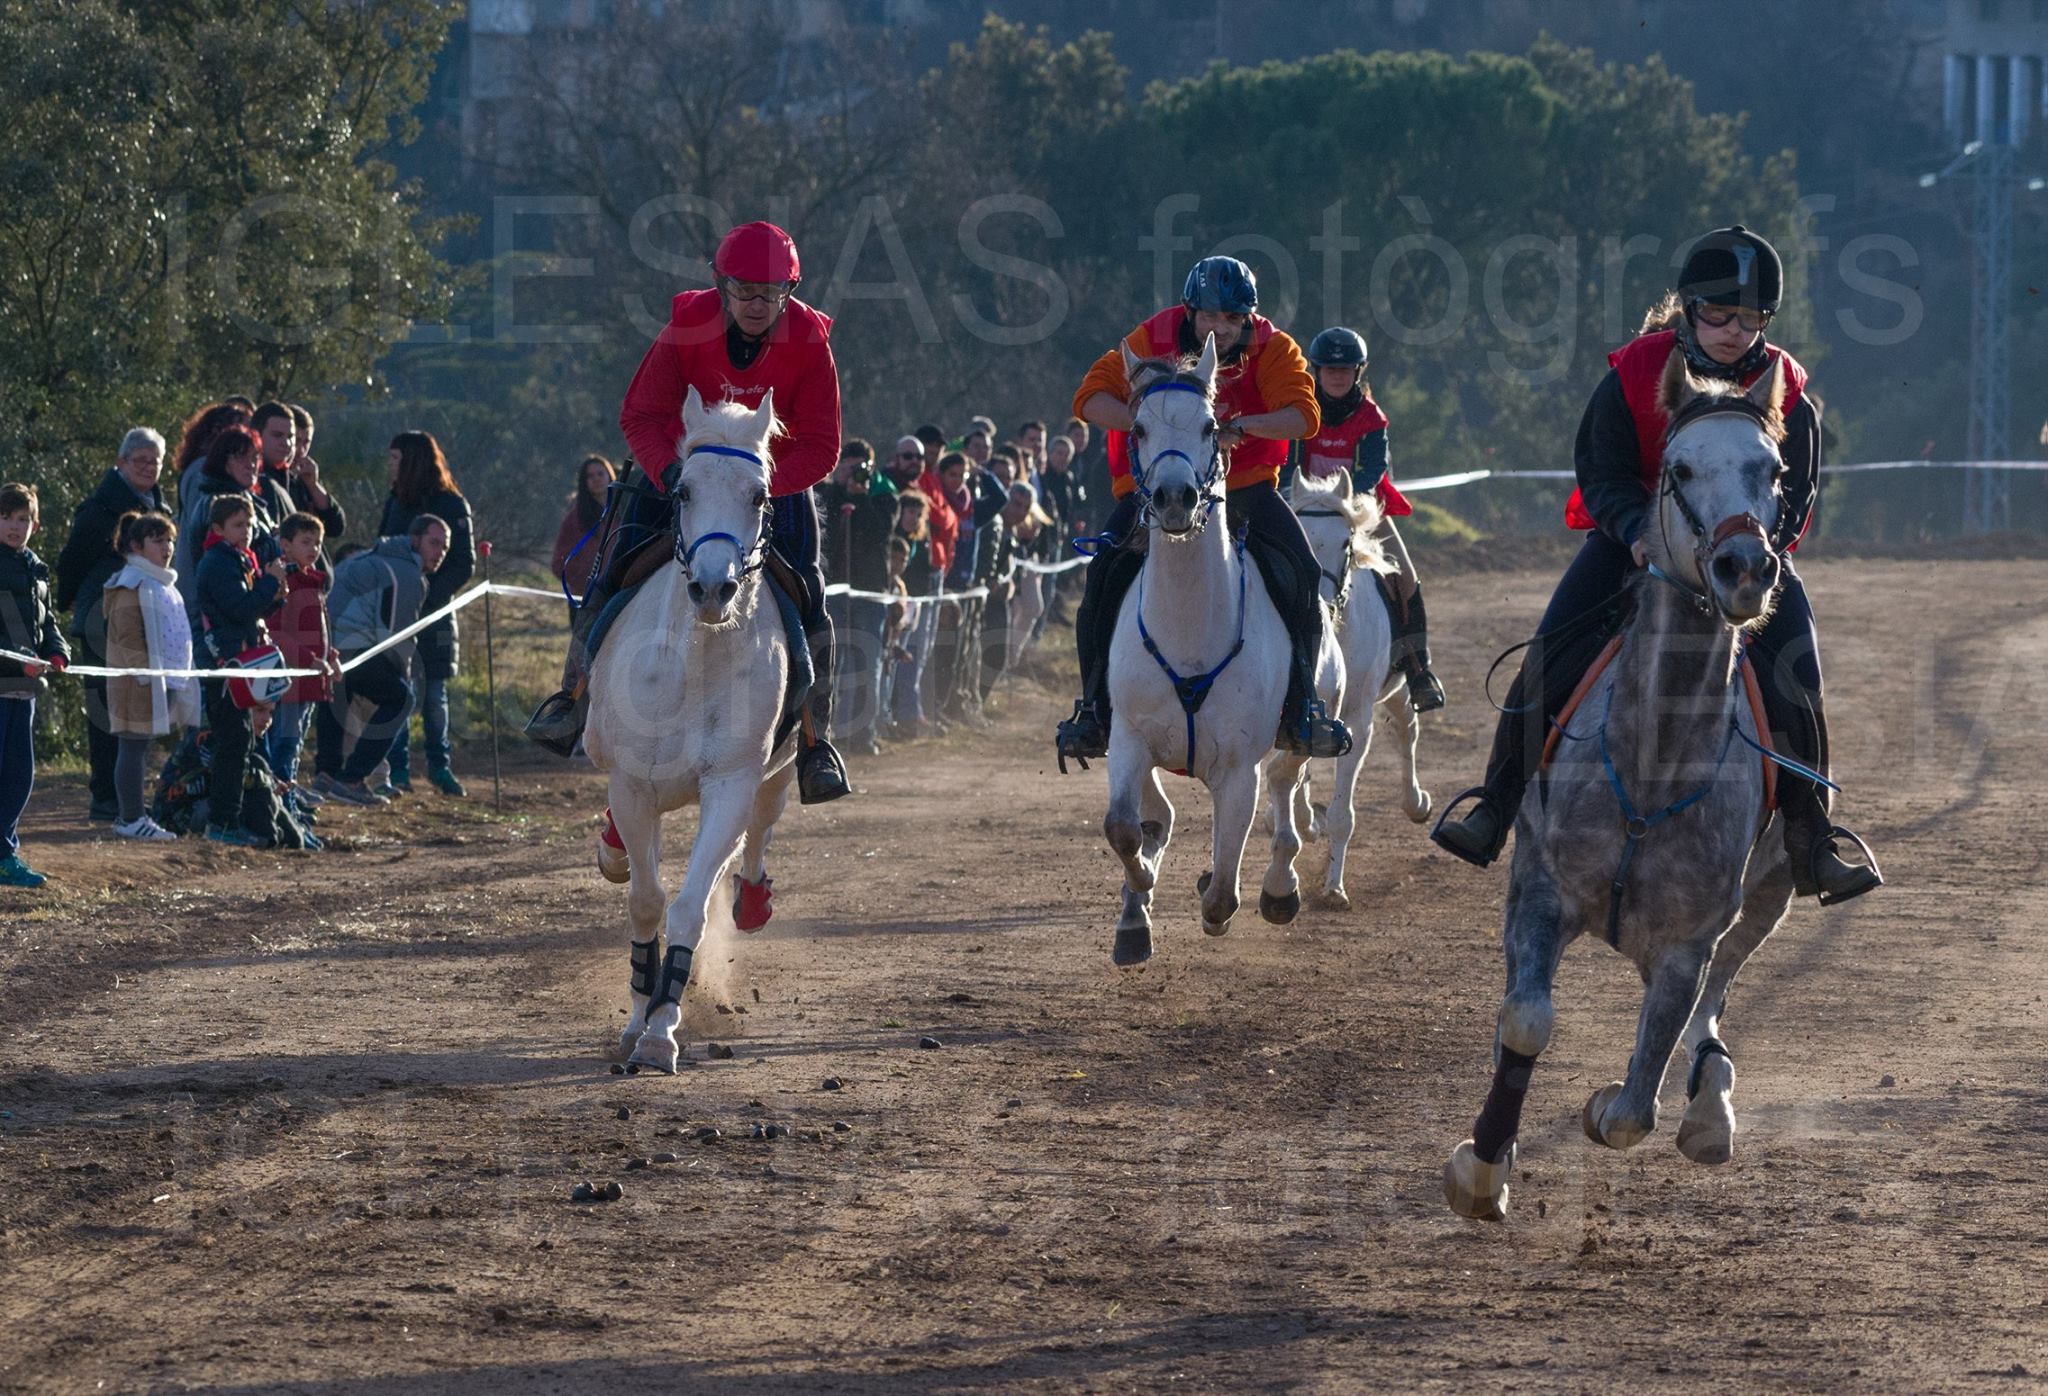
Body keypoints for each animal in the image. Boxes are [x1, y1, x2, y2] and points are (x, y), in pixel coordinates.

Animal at [585, 386, 798, 1072]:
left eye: (759, 495)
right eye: (682, 491)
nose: (712, 588)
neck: (695, 662)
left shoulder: (730, 783)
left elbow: (687, 909)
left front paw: (662, 1026)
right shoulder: (633, 786)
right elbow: (646, 901)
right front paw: (637, 1014)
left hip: (776, 773)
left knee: (755, 834)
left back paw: (751, 900)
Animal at [1097, 339, 1335, 966]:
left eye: (1210, 426)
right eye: (1138, 429)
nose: (1174, 498)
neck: (1189, 629)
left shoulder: (1236, 770)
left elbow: (1225, 887)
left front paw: (1217, 903)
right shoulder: (1128, 740)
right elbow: (1124, 828)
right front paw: (1139, 897)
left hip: (1308, 727)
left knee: (1285, 785)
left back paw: (1279, 890)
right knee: (1158, 816)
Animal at [1286, 466, 1433, 908]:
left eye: (1346, 543)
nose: (1318, 605)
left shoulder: (1357, 719)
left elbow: (1342, 815)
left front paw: (1334, 888)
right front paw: (1307, 821)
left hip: (1399, 690)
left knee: (1406, 731)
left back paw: (1416, 803)